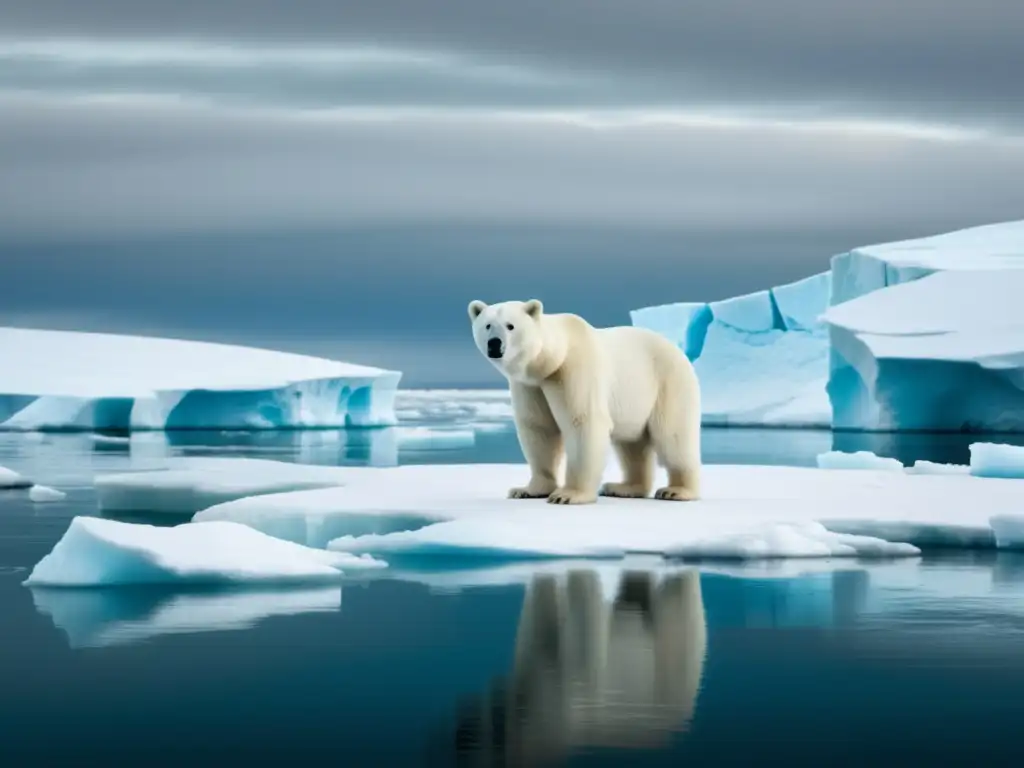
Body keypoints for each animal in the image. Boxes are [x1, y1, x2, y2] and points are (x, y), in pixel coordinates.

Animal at [468, 299, 700, 505]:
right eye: (487, 325)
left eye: (510, 326)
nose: (494, 343)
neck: (551, 361)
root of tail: (677, 350)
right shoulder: (530, 386)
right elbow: (538, 429)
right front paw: (527, 490)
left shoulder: (573, 370)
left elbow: (583, 423)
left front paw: (568, 495)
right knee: (631, 444)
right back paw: (623, 487)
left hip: (667, 383)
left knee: (672, 434)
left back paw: (677, 490)